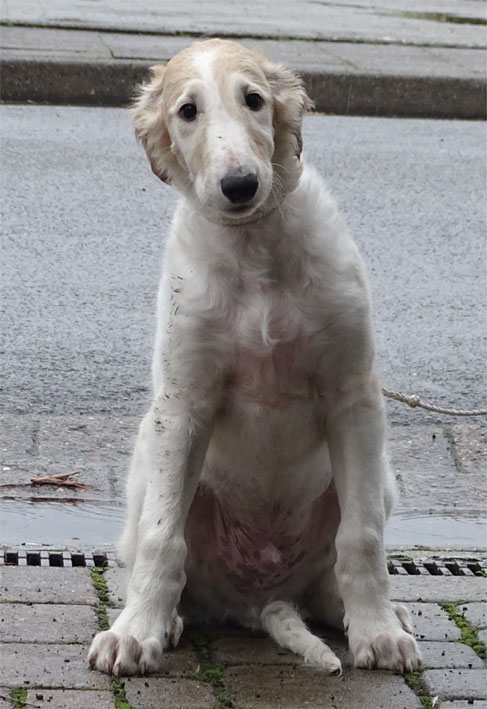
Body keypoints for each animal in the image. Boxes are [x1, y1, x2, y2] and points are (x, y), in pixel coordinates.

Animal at [88, 38, 422, 677]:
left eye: (254, 100)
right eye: (187, 111)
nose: (240, 185)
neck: (254, 247)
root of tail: (260, 595)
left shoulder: (354, 397)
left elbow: (362, 536)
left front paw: (377, 632)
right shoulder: (182, 404)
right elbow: (162, 538)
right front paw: (135, 635)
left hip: (378, 477)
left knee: (336, 564)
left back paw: (370, 612)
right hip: (147, 465)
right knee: (158, 548)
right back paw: (162, 620)